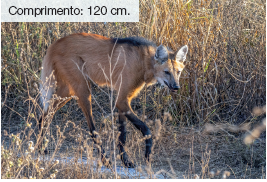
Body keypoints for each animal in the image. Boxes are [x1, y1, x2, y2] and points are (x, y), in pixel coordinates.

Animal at [38, 32, 189, 168]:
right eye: (166, 72)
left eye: (178, 72)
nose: (176, 87)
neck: (143, 62)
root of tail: (55, 43)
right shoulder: (121, 100)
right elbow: (145, 129)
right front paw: (147, 155)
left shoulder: (123, 101)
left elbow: (122, 135)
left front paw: (126, 161)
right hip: (83, 89)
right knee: (92, 129)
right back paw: (105, 160)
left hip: (68, 92)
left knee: (44, 114)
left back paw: (40, 147)